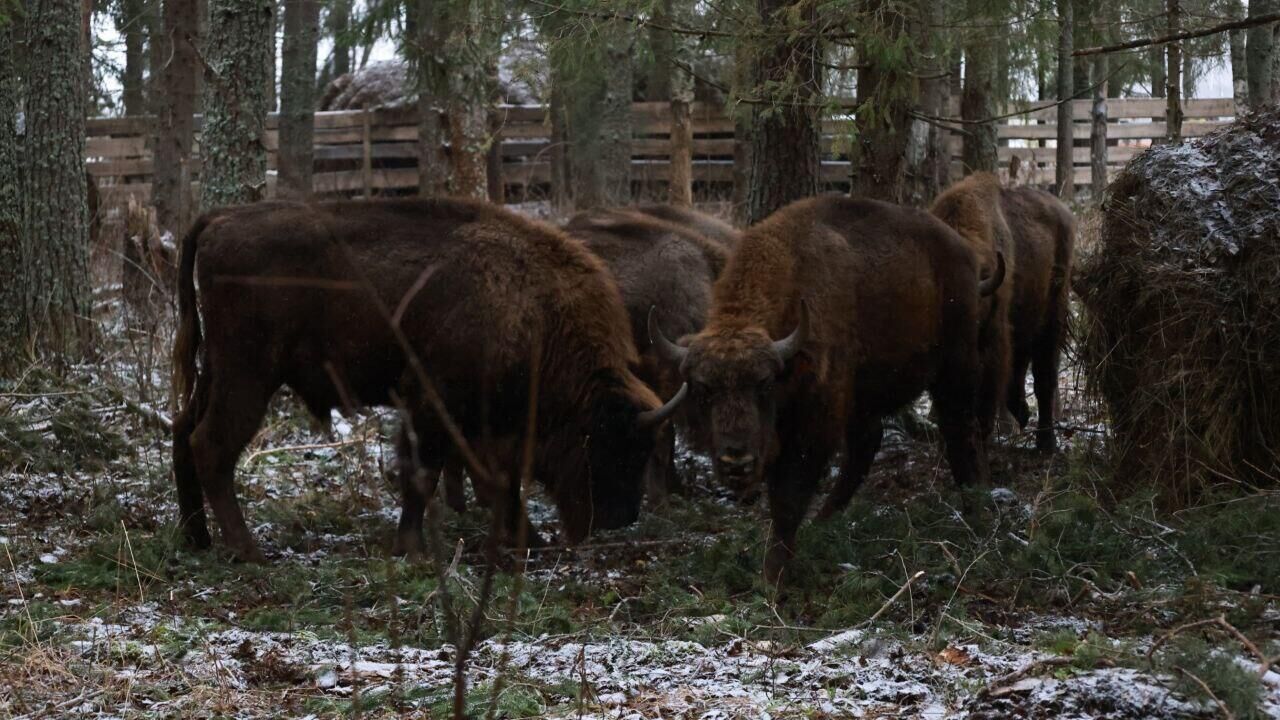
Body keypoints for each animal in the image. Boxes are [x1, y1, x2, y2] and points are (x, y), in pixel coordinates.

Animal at [174, 196, 691, 561]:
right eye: (605, 443)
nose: (618, 519)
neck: (533, 310)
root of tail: (218, 220)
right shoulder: (433, 405)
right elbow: (426, 474)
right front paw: (413, 549)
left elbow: (496, 481)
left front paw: (530, 541)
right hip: (248, 375)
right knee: (211, 444)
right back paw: (248, 551)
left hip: (218, 371)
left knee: (183, 430)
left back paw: (198, 537)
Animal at [655, 196, 1003, 584]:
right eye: (704, 389)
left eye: (764, 384)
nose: (736, 460)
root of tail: (966, 255)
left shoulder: (813, 426)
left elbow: (788, 497)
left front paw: (773, 576)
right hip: (866, 396)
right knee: (869, 446)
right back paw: (824, 521)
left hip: (955, 366)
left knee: (960, 430)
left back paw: (974, 508)